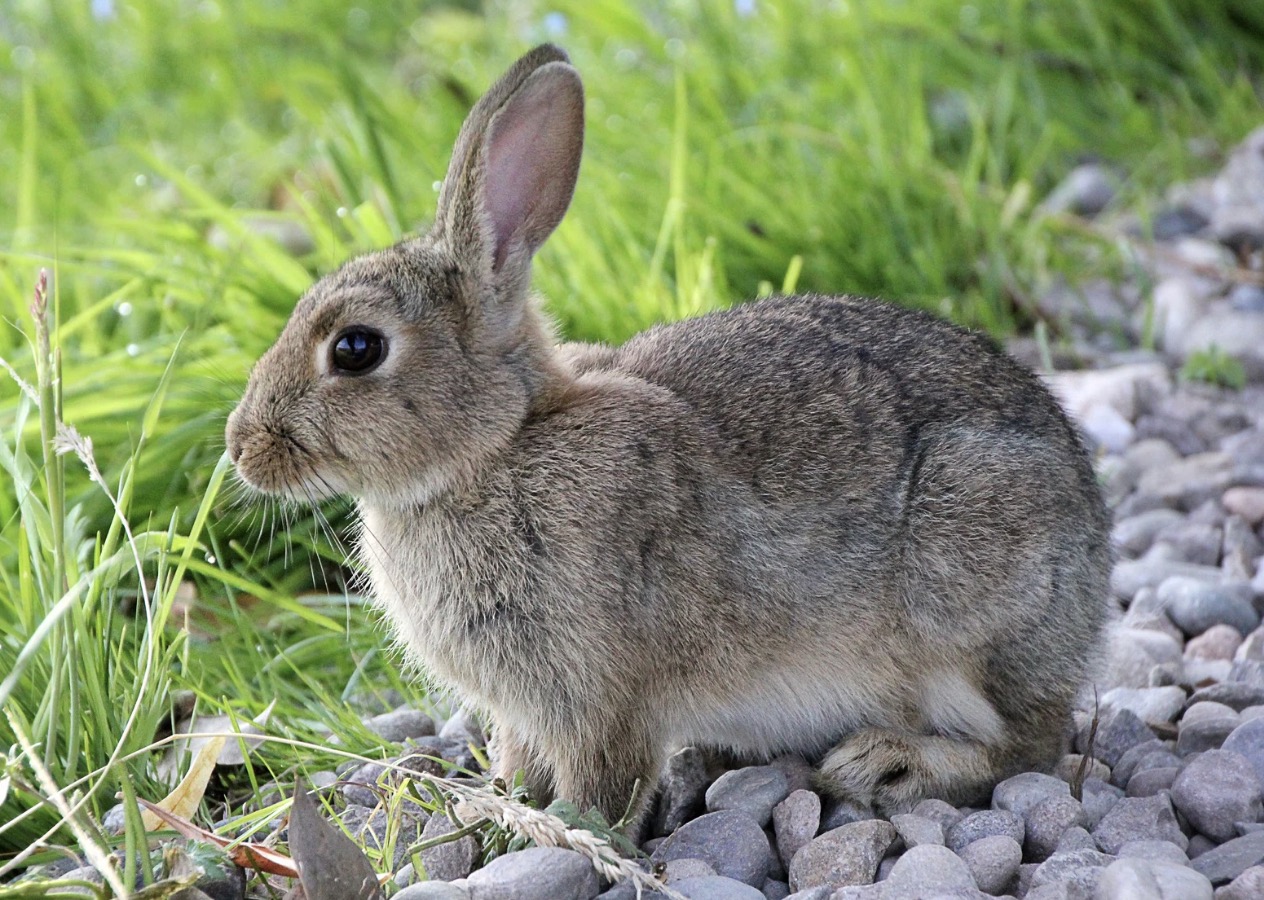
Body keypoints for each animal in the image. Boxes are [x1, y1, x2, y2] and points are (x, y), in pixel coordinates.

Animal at [226, 43, 1111, 829]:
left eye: (355, 348)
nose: (242, 446)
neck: (498, 448)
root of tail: (1095, 561)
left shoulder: (600, 691)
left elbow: (603, 780)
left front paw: (561, 832)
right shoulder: (526, 707)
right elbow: (521, 758)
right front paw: (500, 806)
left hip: (972, 592)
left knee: (1029, 745)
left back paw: (889, 763)